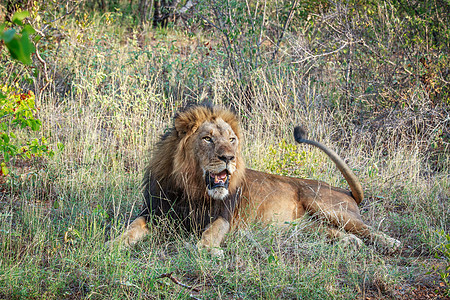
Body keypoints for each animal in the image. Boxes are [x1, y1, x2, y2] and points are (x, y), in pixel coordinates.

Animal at [109, 103, 400, 255]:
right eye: (207, 138)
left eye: (232, 139)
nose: (229, 157)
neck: (191, 188)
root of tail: (345, 190)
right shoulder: (155, 212)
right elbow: (131, 228)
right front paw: (112, 244)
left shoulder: (224, 216)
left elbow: (209, 236)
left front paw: (210, 250)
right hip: (304, 226)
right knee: (330, 232)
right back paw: (349, 242)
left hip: (326, 205)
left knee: (368, 229)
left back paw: (391, 243)